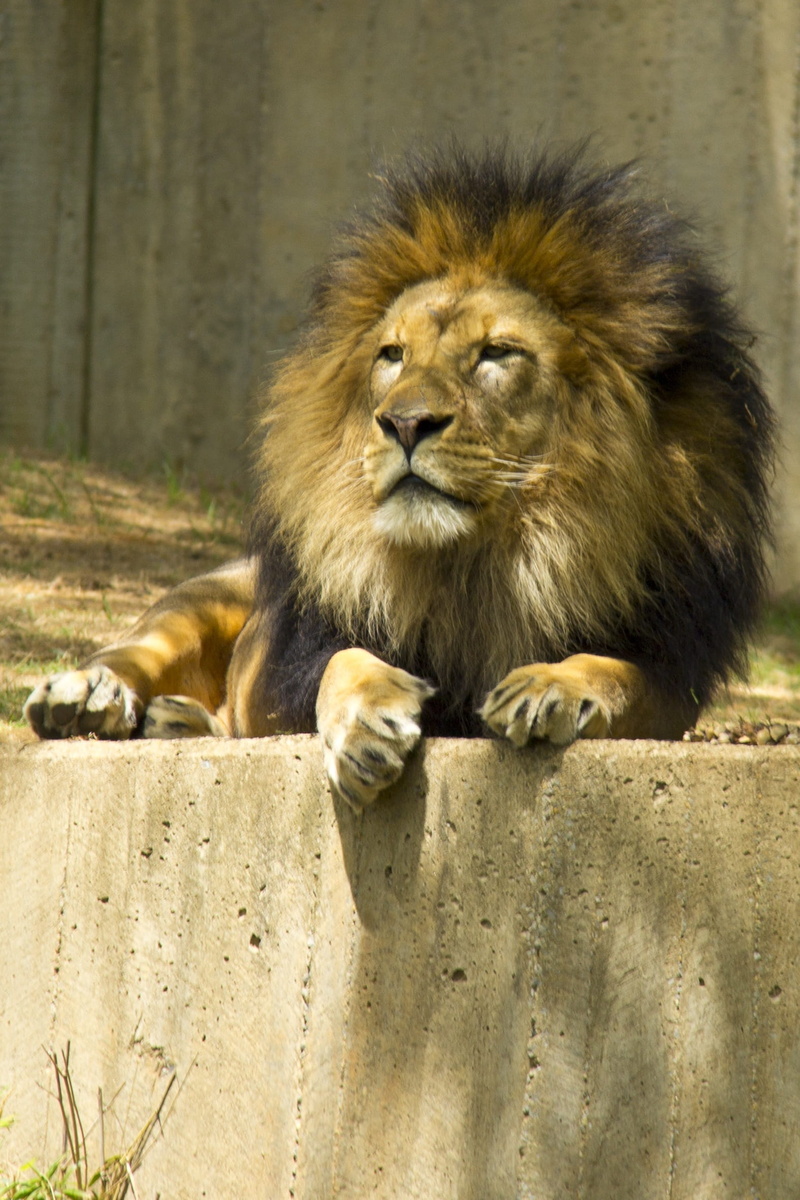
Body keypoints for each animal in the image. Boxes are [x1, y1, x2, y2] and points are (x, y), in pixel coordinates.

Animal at [25, 144, 774, 809]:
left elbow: (619, 674)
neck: (477, 566)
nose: (406, 423)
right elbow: (345, 661)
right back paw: (85, 697)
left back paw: (176, 719)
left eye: (497, 353)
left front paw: (551, 687)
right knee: (137, 648)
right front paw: (367, 723)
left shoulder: (671, 672)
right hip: (201, 598)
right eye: (393, 354)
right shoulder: (306, 653)